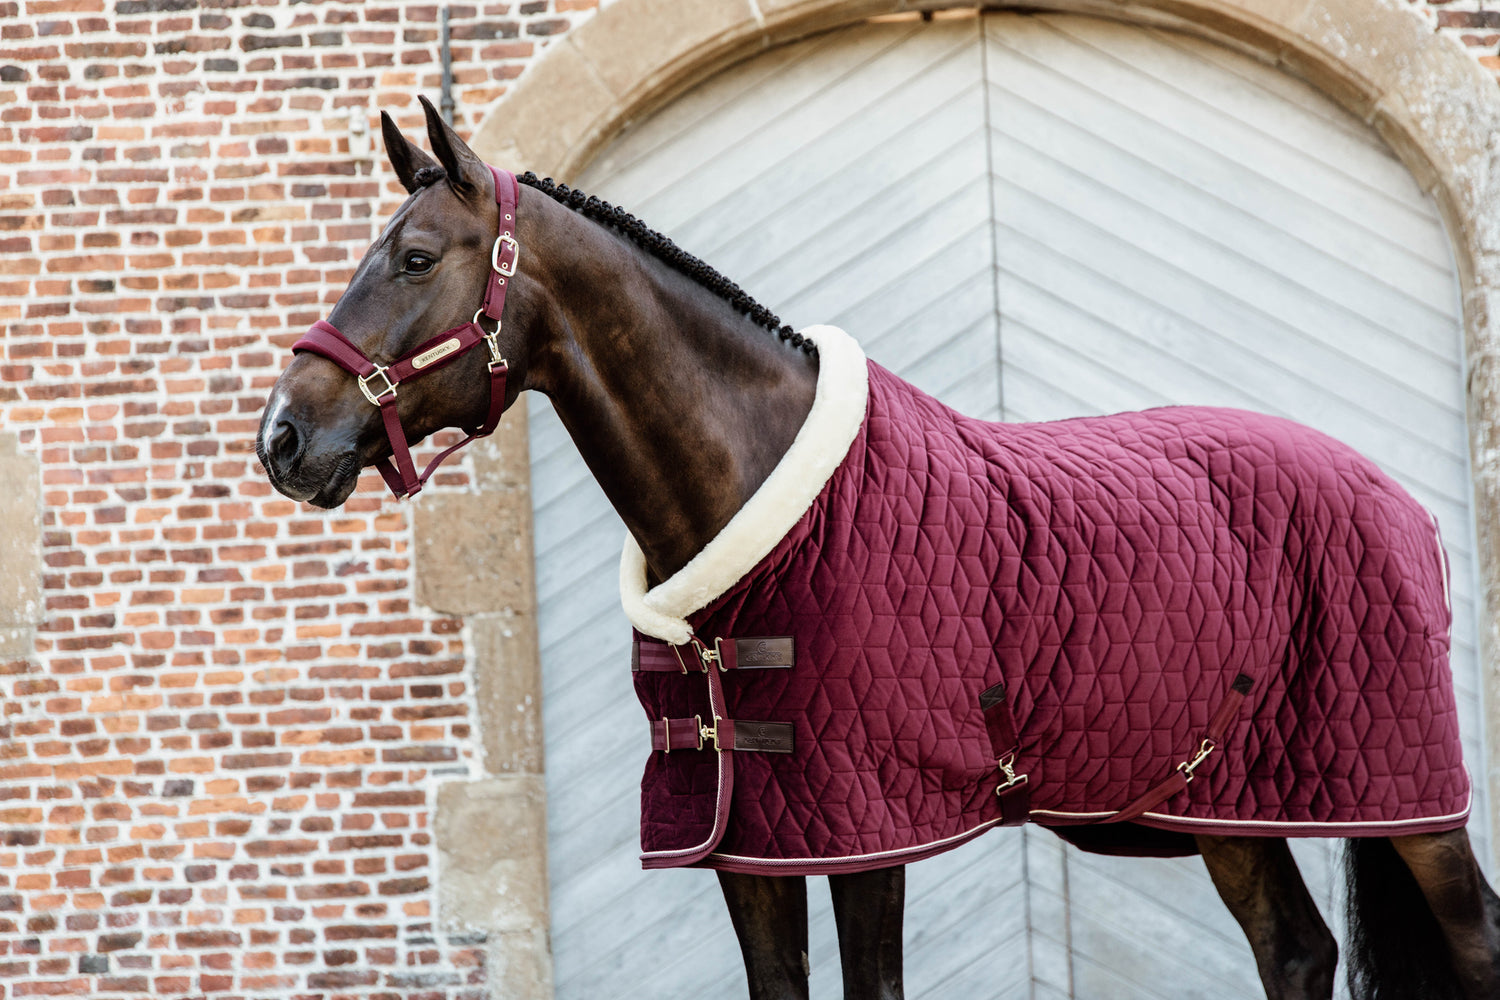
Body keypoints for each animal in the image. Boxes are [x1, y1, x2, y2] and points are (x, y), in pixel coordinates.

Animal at [255, 95, 1500, 1000]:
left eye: (418, 258)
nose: (285, 437)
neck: (759, 501)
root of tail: (1395, 497)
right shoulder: (747, 841)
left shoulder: (868, 829)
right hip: (1225, 802)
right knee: (1293, 948)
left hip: (1407, 797)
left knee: (1474, 941)